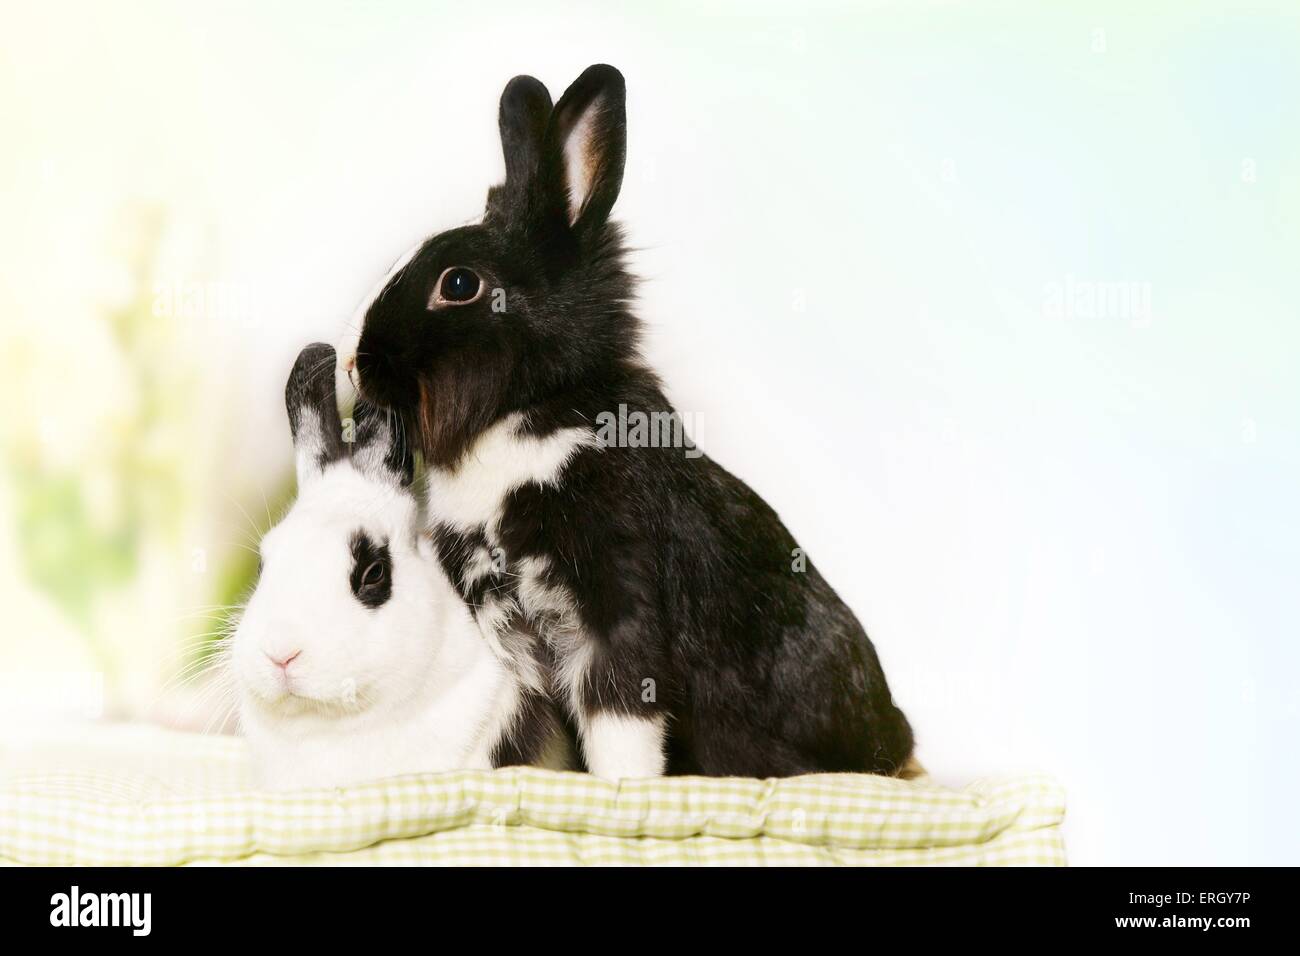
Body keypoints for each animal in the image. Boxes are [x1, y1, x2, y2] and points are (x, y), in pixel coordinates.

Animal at [345, 67, 915, 780]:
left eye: (458, 284)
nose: (353, 364)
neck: (525, 413)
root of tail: (898, 741)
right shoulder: (509, 633)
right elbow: (526, 732)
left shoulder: (616, 601)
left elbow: (620, 718)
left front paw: (625, 790)